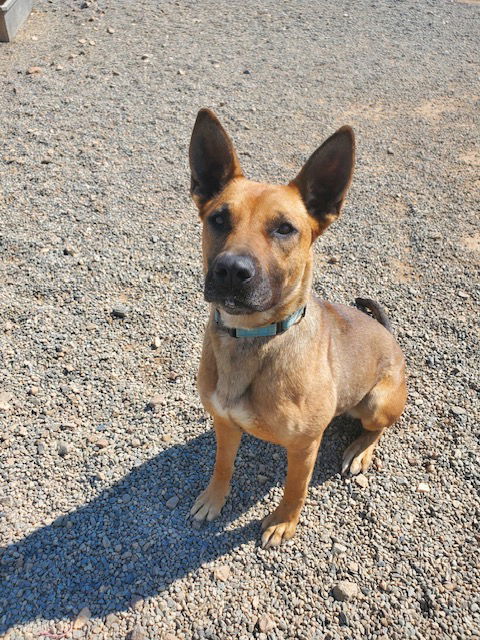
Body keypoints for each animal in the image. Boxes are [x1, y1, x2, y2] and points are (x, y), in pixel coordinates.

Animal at [188, 107, 404, 548]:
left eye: (284, 228)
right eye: (219, 218)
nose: (231, 271)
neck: (252, 338)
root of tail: (390, 336)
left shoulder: (304, 446)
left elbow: (295, 488)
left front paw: (282, 522)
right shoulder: (223, 423)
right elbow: (222, 465)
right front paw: (214, 498)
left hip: (377, 403)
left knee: (379, 428)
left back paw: (360, 450)